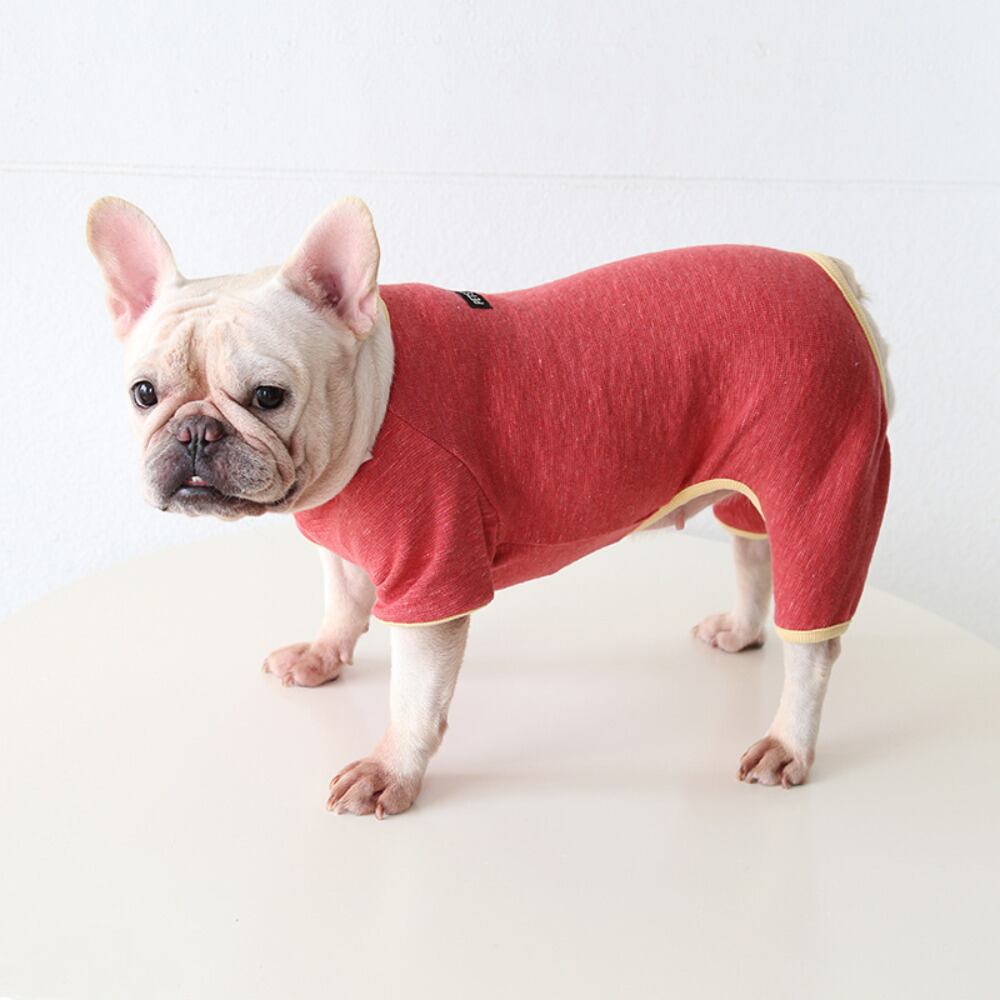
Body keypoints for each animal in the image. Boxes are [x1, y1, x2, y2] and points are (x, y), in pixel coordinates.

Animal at [87, 196, 892, 818]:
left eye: (267, 396)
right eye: (144, 394)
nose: (195, 432)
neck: (374, 400)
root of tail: (827, 273)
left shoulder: (434, 574)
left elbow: (413, 697)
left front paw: (390, 772)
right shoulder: (343, 542)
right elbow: (343, 600)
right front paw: (322, 655)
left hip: (822, 475)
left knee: (813, 644)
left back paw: (788, 742)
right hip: (756, 482)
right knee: (754, 553)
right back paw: (743, 630)